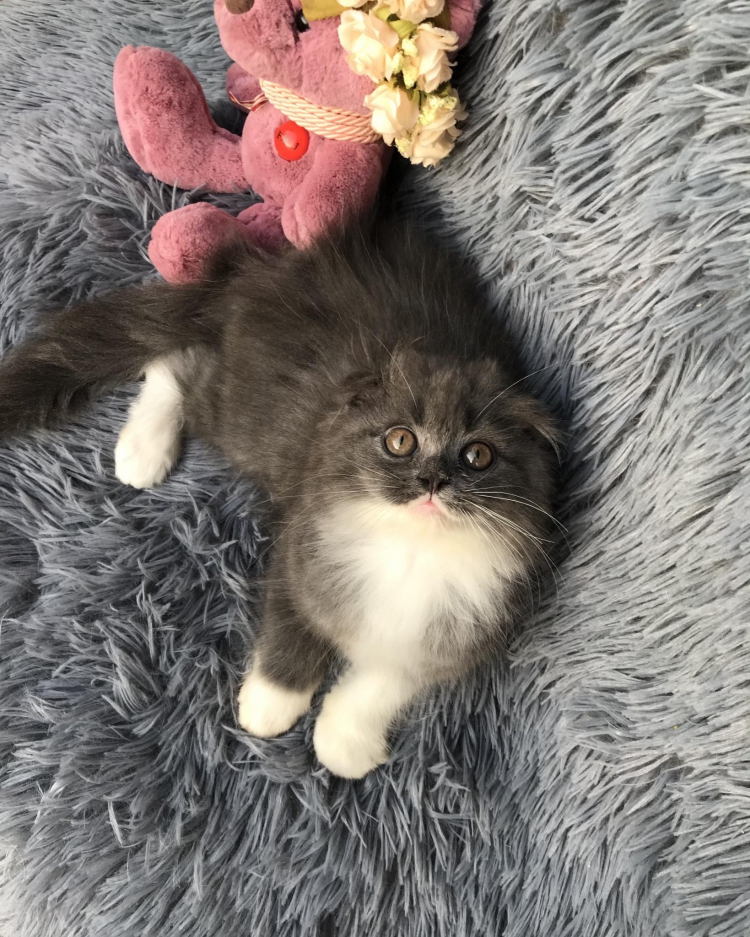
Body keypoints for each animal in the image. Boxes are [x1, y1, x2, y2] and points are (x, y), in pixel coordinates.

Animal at [0, 223, 559, 778]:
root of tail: (264, 273)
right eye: (400, 441)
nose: (433, 481)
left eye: (478, 455)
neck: (412, 551)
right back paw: (144, 450)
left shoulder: (455, 631)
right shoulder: (303, 551)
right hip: (244, 418)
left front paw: (342, 741)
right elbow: (292, 629)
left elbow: (386, 683)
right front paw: (270, 705)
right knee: (179, 365)